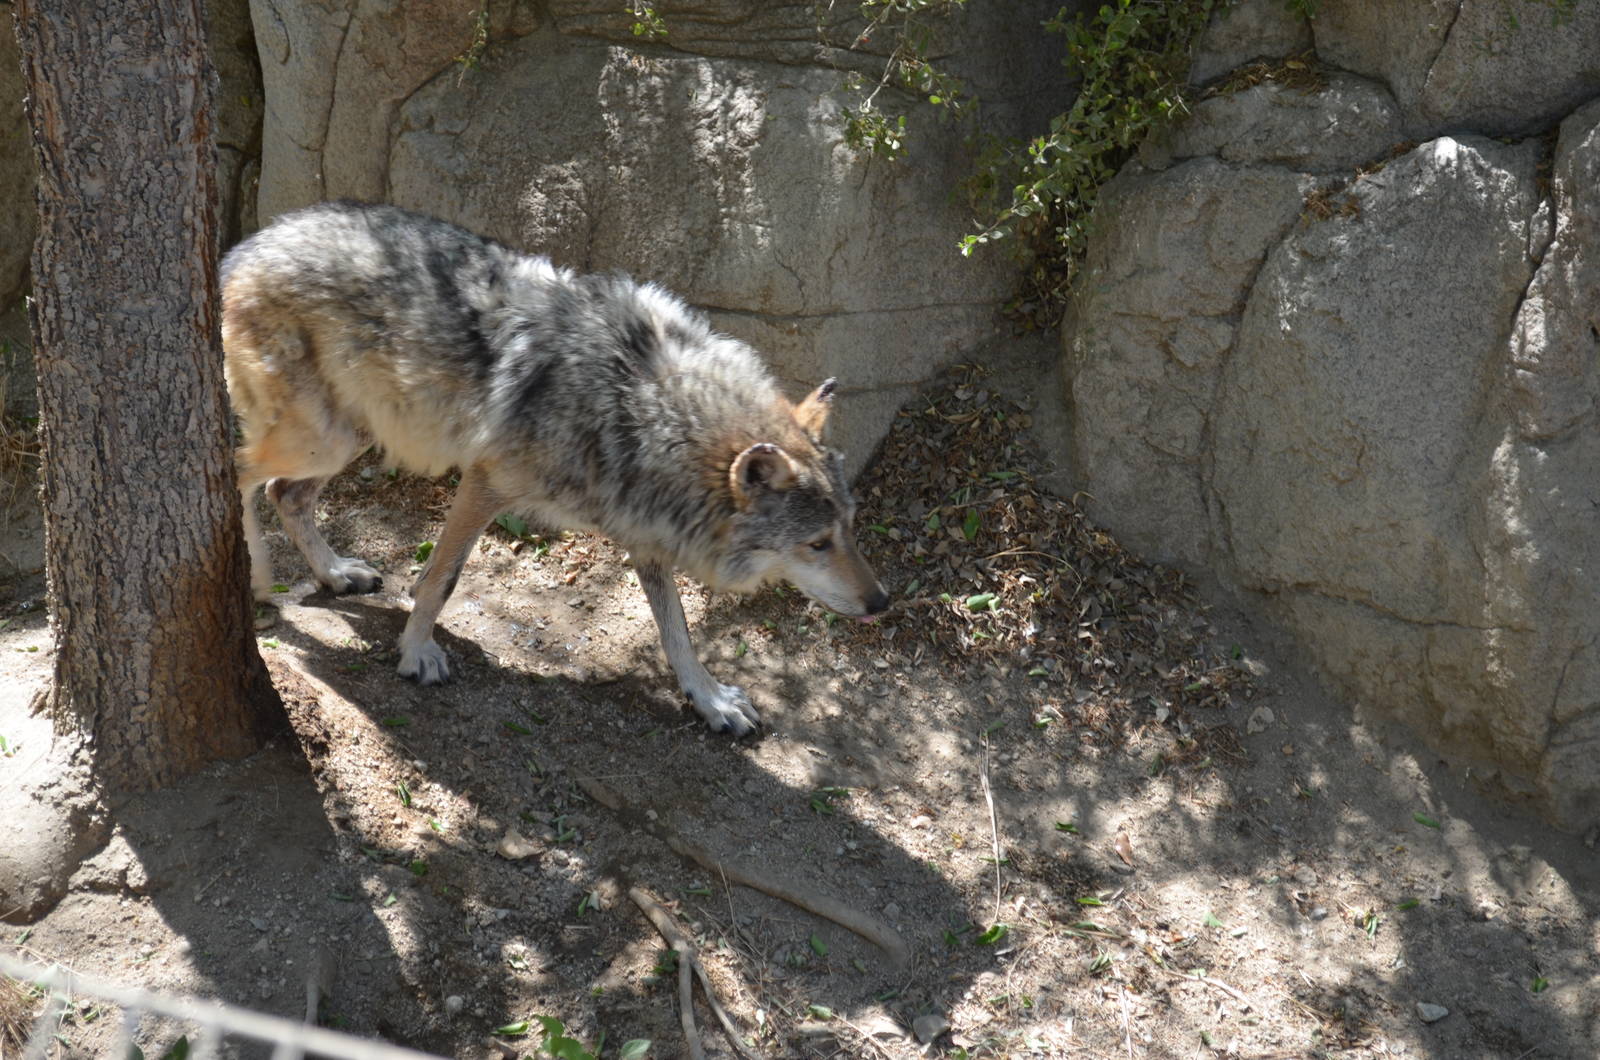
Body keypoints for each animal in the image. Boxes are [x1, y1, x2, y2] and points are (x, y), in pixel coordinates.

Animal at [221, 201, 888, 735]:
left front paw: (710, 700)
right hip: (322, 441)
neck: (638, 407)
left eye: (849, 529)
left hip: (352, 435)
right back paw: (254, 579)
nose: (882, 601)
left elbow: (678, 633)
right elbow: (440, 581)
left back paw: (335, 574)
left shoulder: (643, 533)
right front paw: (416, 653)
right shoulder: (485, 484)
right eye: (817, 543)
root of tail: (244, 247)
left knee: (284, 494)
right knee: (239, 473)